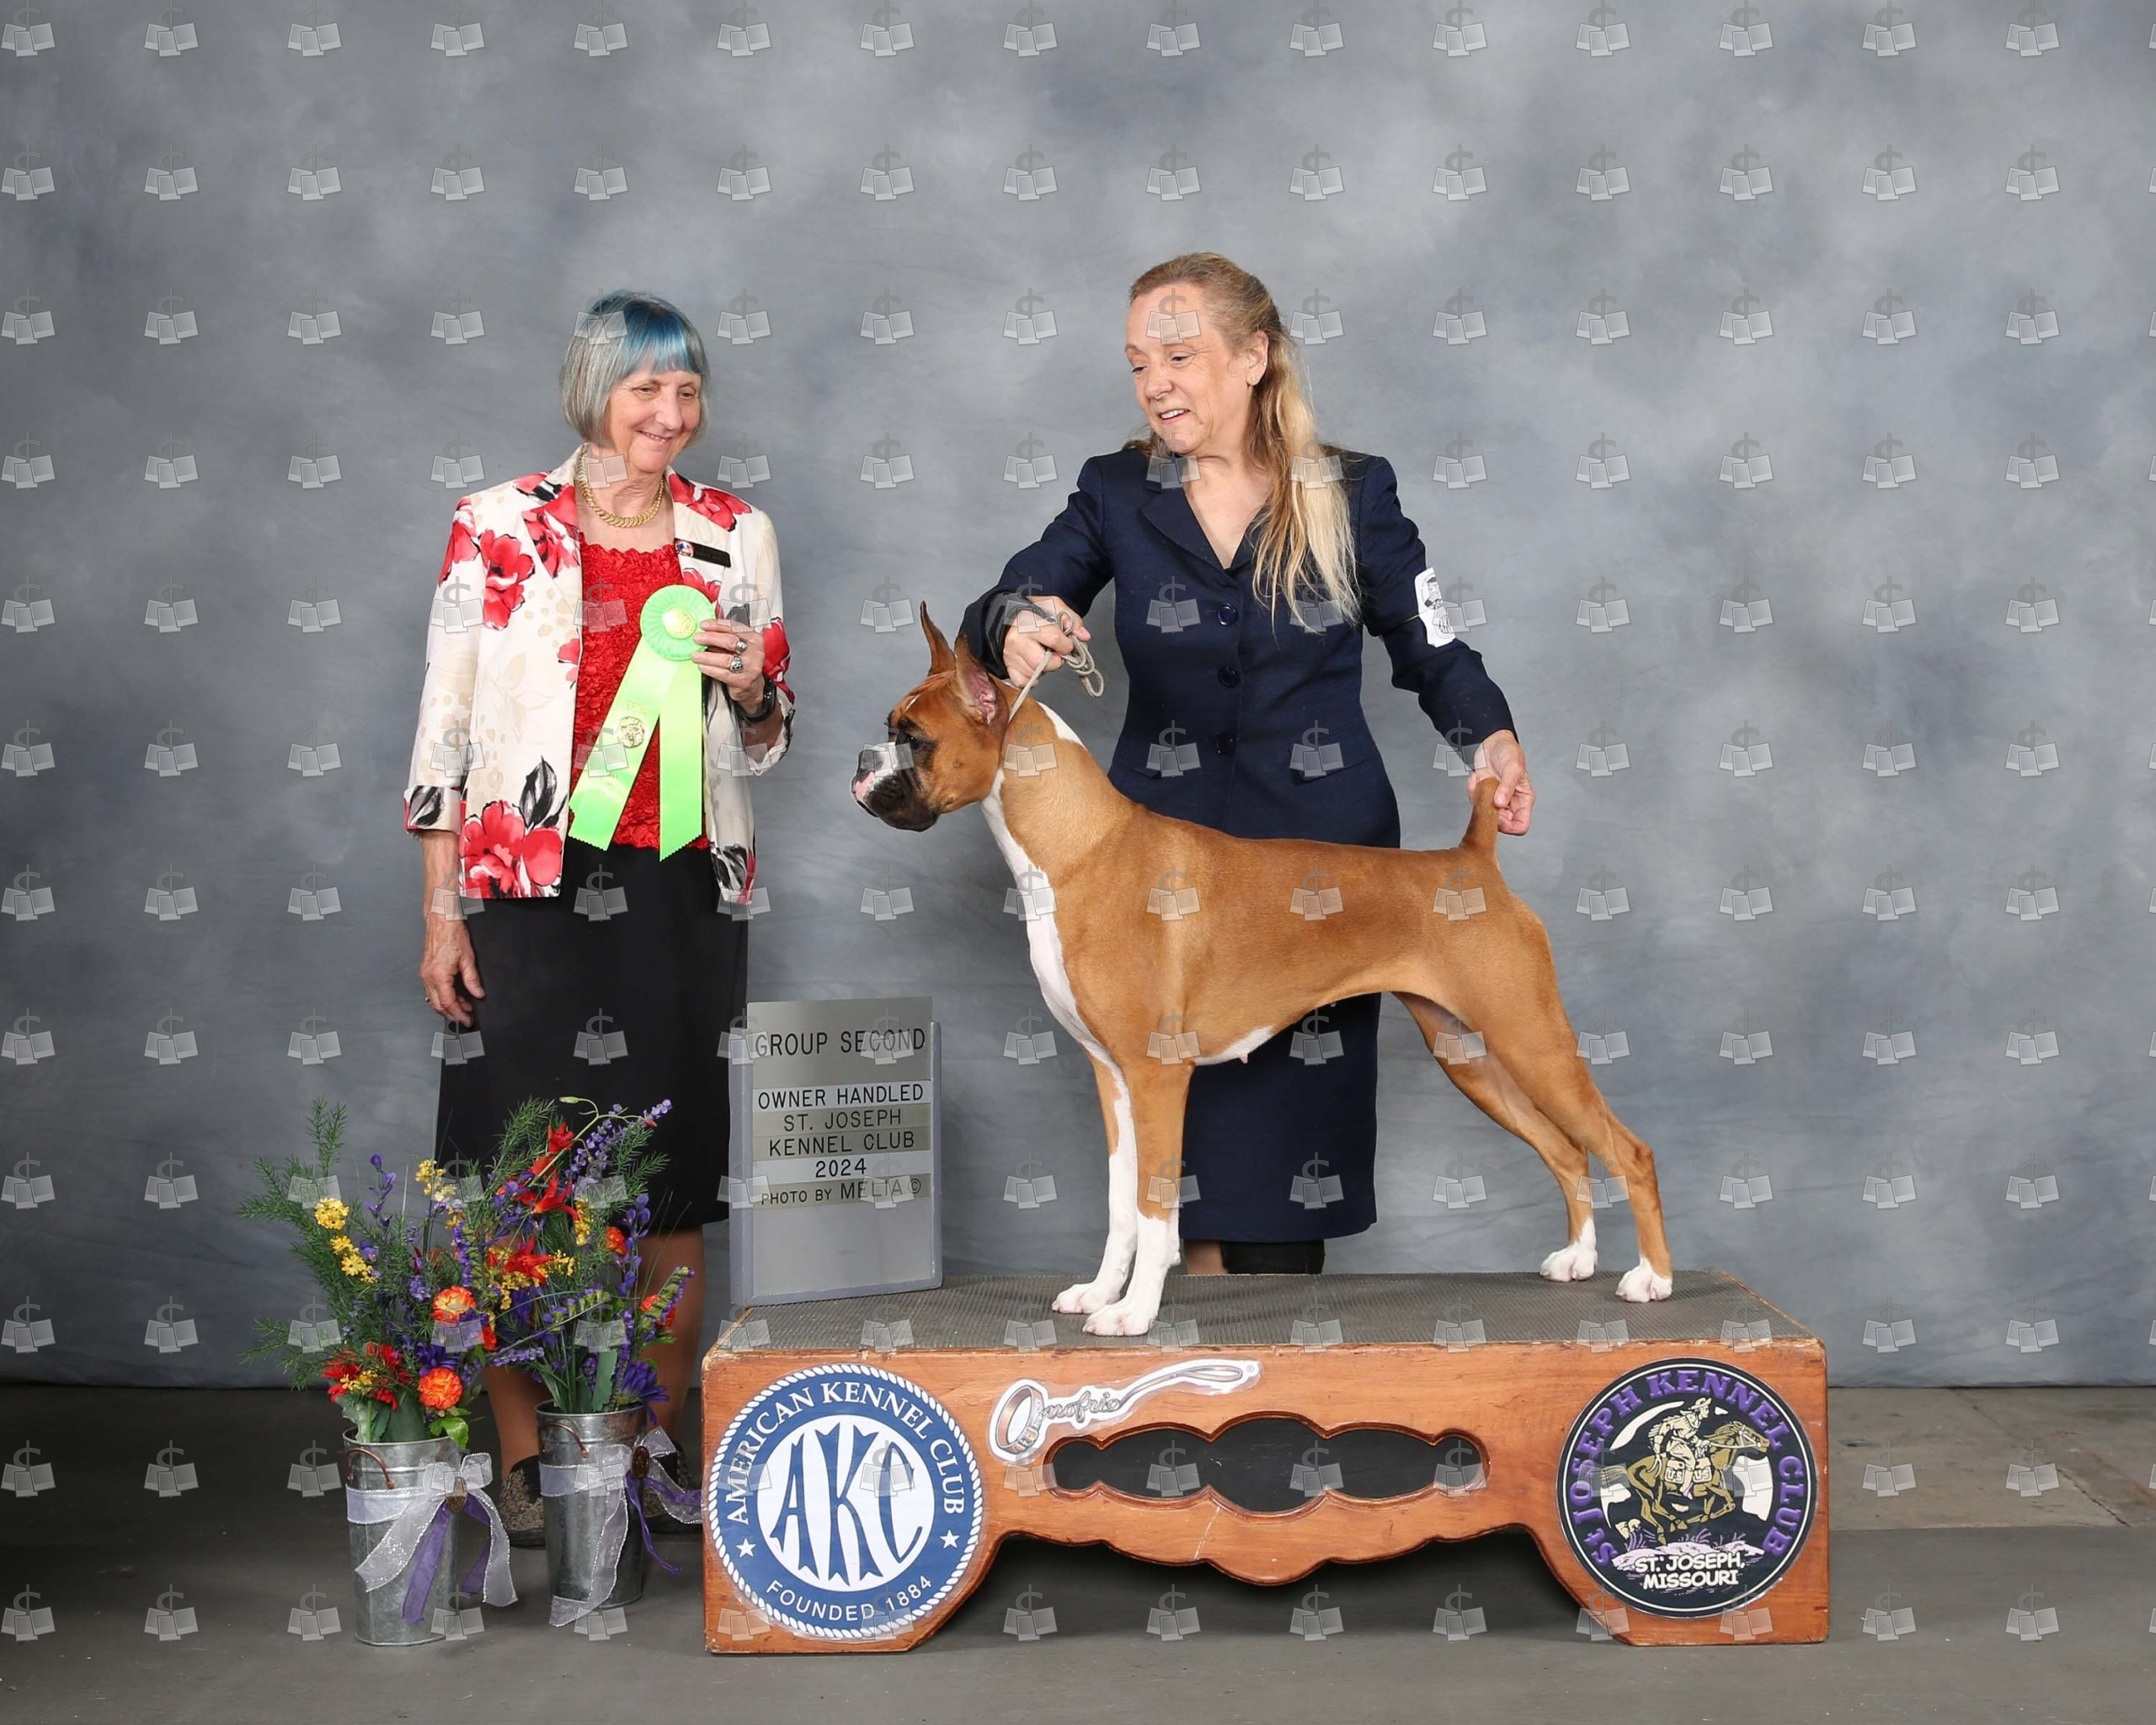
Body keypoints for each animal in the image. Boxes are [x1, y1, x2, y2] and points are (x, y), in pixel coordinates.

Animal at [851, 609, 1674, 1337]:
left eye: (914, 739)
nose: (860, 764)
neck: (1081, 847)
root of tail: (1471, 860)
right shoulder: (1111, 1079)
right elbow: (1121, 1208)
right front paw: (1099, 1293)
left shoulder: (1157, 1075)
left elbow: (1154, 1210)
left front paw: (1134, 1314)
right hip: (1470, 1056)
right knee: (1566, 1150)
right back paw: (1578, 1260)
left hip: (1532, 1041)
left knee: (1626, 1149)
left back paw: (1653, 1279)